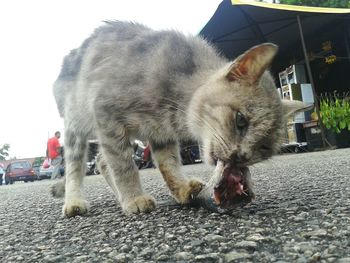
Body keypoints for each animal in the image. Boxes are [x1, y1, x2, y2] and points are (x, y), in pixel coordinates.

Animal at [52, 21, 308, 219]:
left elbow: (169, 163)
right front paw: (134, 197)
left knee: (102, 161)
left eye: (263, 148)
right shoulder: (107, 114)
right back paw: (74, 200)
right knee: (76, 167)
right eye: (241, 120)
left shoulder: (160, 133)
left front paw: (182, 189)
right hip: (77, 125)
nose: (241, 156)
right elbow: (124, 167)